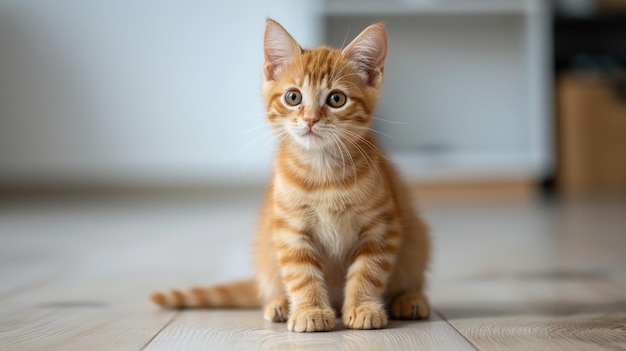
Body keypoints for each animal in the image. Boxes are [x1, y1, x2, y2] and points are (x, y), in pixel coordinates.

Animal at [154, 18, 432, 332]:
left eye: (336, 99)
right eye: (293, 97)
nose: (310, 119)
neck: (323, 171)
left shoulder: (382, 226)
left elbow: (368, 270)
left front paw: (363, 307)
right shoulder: (289, 228)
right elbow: (301, 273)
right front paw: (310, 310)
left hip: (418, 236)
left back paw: (409, 298)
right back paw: (280, 303)